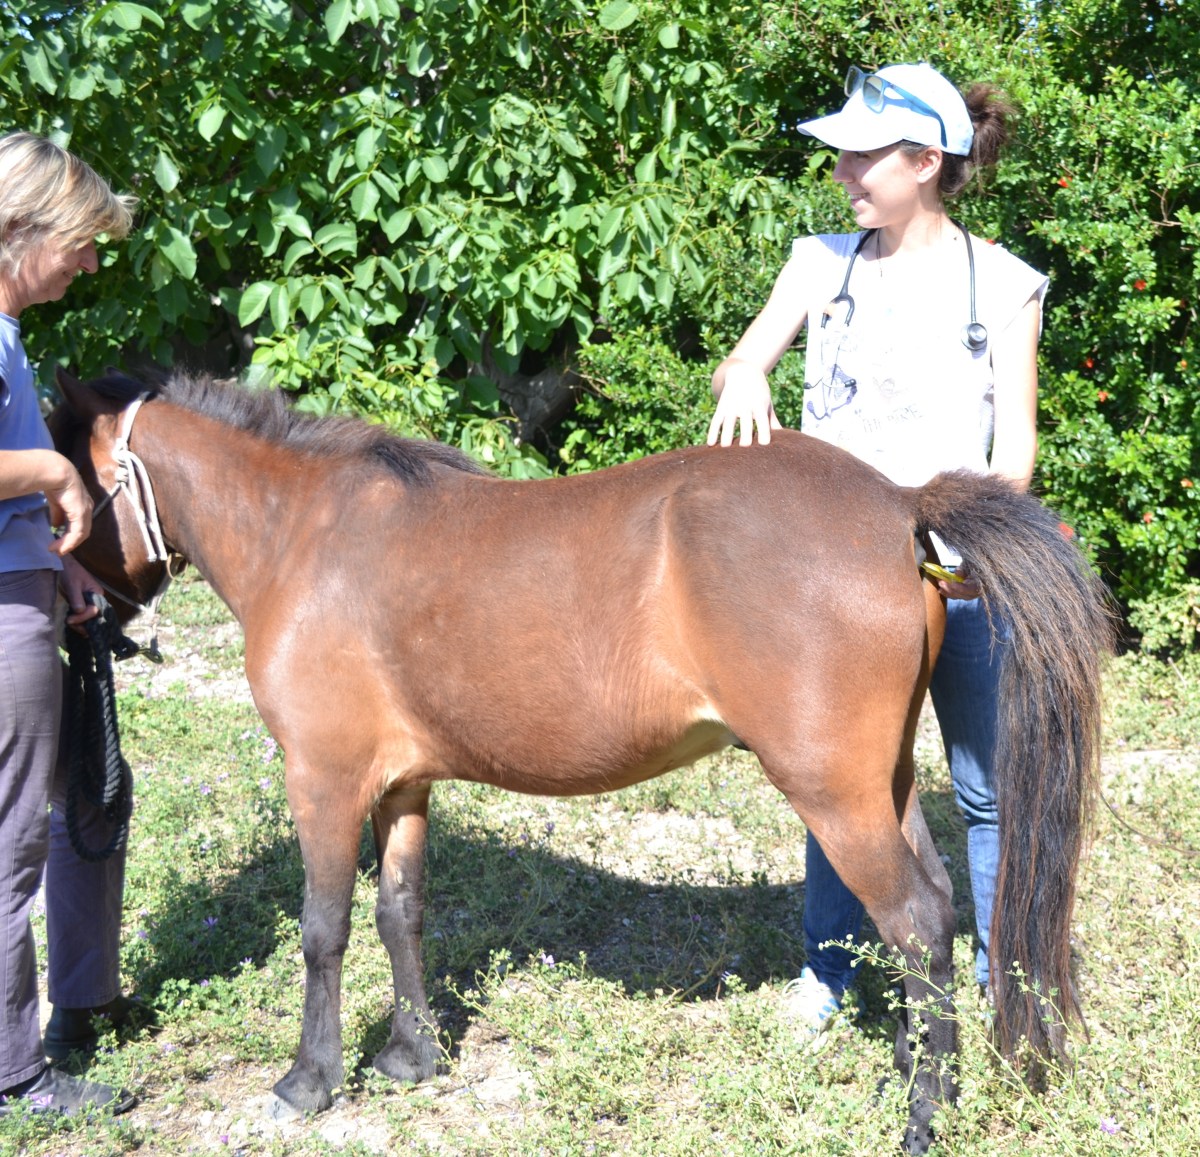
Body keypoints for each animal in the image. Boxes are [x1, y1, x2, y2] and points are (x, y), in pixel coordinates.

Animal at [49, 367, 1113, 1154]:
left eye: (67, 486)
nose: (82, 610)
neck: (306, 537)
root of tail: (897, 501)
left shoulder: (324, 778)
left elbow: (324, 928)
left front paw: (310, 1079)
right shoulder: (403, 785)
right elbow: (401, 913)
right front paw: (411, 1057)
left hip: (833, 792)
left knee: (918, 923)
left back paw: (924, 1115)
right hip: (879, 783)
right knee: (933, 908)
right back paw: (921, 1076)